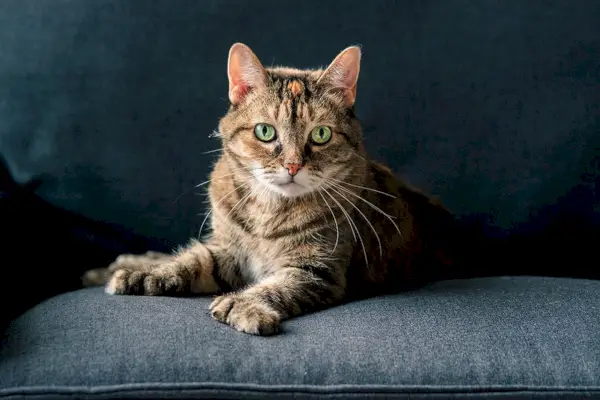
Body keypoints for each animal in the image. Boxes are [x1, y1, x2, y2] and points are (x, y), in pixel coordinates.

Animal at [82, 43, 458, 334]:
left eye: (321, 134)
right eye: (265, 131)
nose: (292, 166)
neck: (270, 210)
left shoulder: (317, 270)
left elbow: (275, 287)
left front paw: (243, 306)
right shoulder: (227, 250)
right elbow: (191, 262)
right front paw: (144, 275)